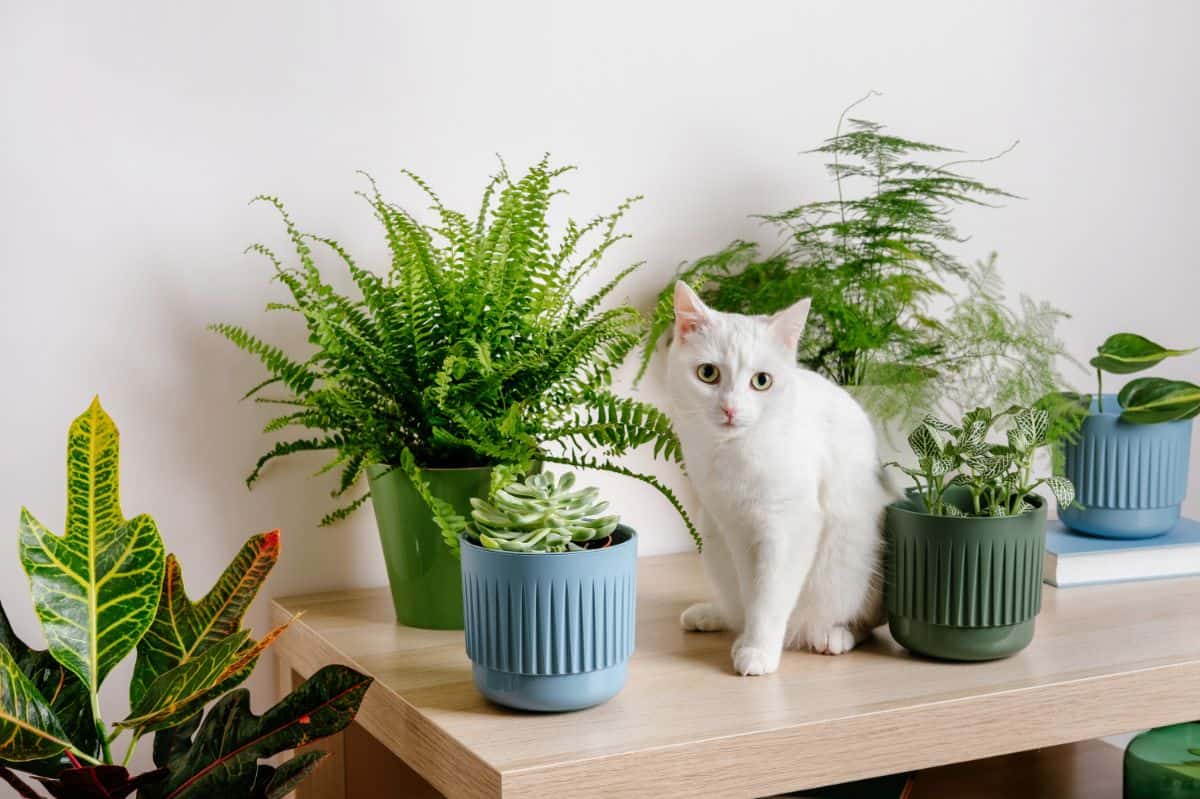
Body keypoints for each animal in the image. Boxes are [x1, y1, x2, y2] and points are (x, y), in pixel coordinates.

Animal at [667, 279, 892, 671]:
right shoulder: (737, 529)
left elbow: (770, 595)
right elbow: (751, 592)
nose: (730, 409)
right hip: (712, 535)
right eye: (708, 373)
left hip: (851, 554)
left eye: (762, 381)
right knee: (735, 606)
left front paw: (758, 651)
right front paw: (750, 640)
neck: (733, 451)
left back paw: (832, 634)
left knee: (861, 621)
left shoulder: (789, 525)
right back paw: (711, 616)